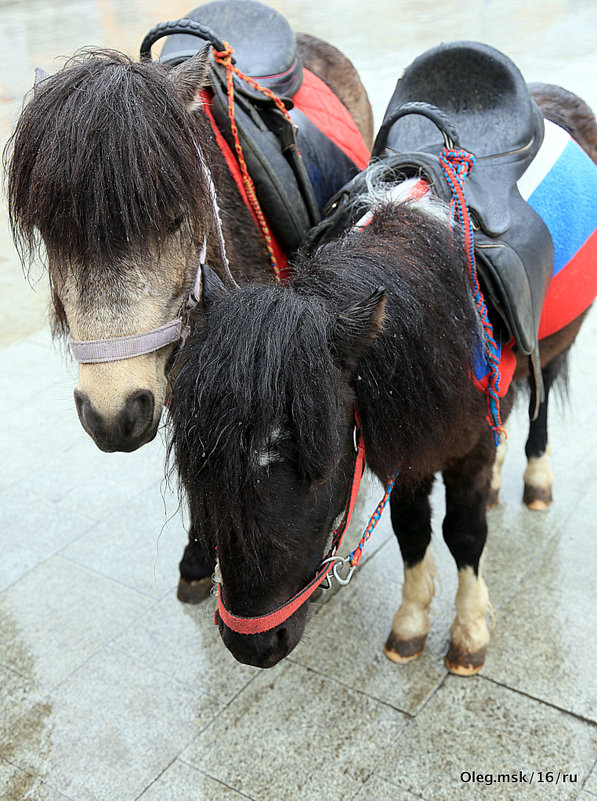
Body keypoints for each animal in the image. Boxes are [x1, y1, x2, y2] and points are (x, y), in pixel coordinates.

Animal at [165, 83, 592, 668]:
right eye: (201, 468)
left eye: (320, 467)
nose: (253, 645)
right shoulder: (406, 441)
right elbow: (411, 529)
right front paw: (411, 622)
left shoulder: (466, 447)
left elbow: (464, 532)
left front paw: (468, 633)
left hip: (555, 343)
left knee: (540, 401)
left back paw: (536, 479)